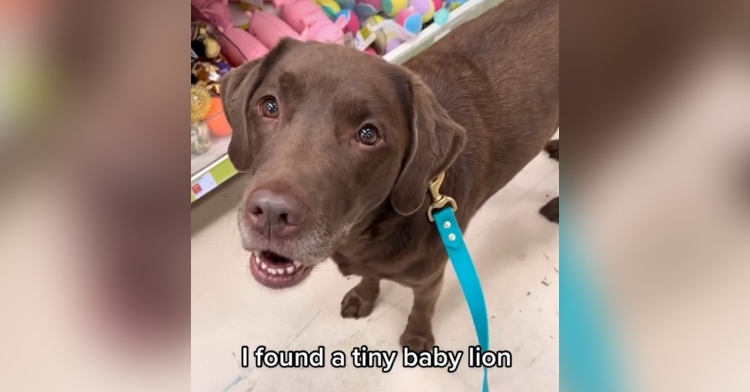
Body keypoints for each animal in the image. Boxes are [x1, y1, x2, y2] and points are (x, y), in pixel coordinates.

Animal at [219, 0, 560, 352]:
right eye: (270, 106)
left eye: (368, 134)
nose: (271, 213)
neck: (365, 234)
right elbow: (370, 276)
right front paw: (364, 296)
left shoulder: (429, 279)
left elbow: (422, 309)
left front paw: (417, 337)